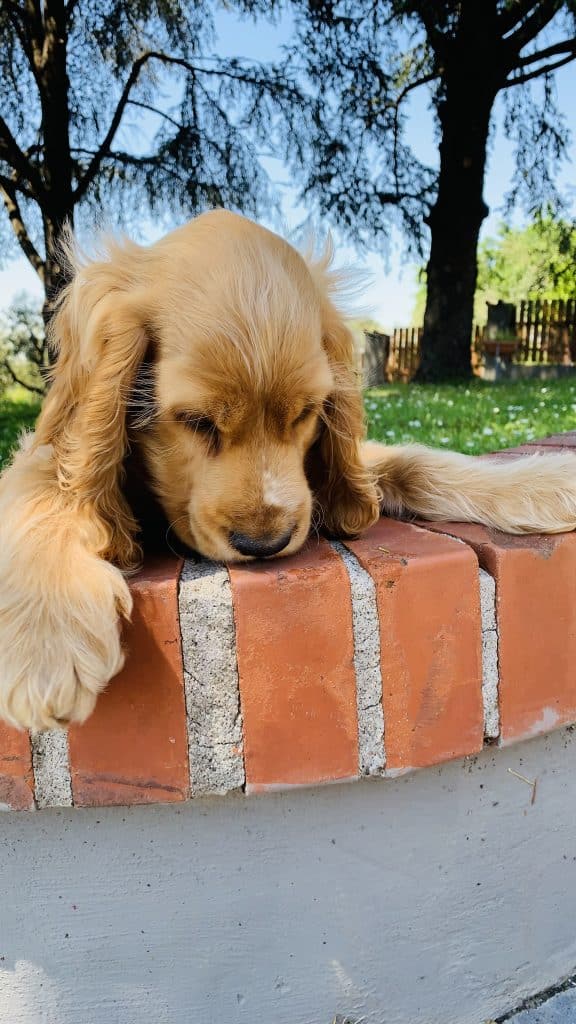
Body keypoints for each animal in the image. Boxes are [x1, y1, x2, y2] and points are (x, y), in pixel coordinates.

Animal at [1, 209, 575, 732]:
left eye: (304, 413)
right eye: (195, 421)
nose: (265, 543)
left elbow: (410, 460)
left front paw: (546, 481)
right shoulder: (45, 454)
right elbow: (45, 492)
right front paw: (46, 640)